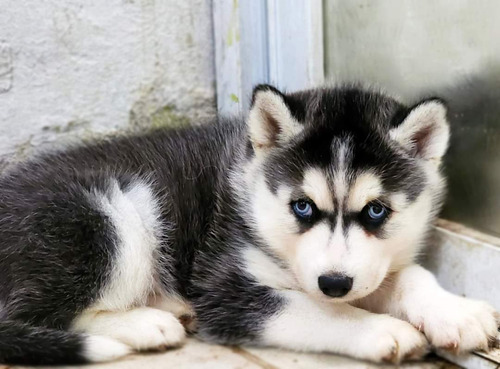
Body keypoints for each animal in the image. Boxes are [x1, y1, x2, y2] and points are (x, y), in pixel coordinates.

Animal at [0, 85, 500, 364]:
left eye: (376, 211)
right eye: (302, 207)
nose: (334, 283)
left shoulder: (362, 268)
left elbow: (405, 275)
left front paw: (457, 312)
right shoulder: (223, 283)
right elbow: (312, 309)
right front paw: (380, 330)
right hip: (110, 215)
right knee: (42, 313)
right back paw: (149, 323)